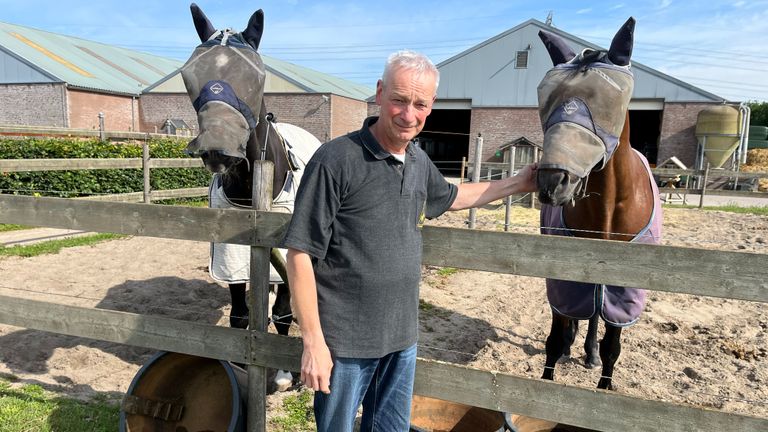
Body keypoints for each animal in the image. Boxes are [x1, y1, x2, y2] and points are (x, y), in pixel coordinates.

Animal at [182, 1, 320, 390]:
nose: (219, 148)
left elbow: (285, 313)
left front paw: (286, 376)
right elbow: (241, 316)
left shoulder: (289, 256)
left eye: (257, 76)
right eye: (189, 72)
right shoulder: (232, 259)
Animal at [536, 16, 660, 390]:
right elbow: (554, 339)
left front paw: (603, 385)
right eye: (546, 99)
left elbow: (611, 349)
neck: (608, 211)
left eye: (604, 103)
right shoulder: (562, 279)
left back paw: (588, 353)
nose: (552, 181)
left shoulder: (623, 290)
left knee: (595, 319)